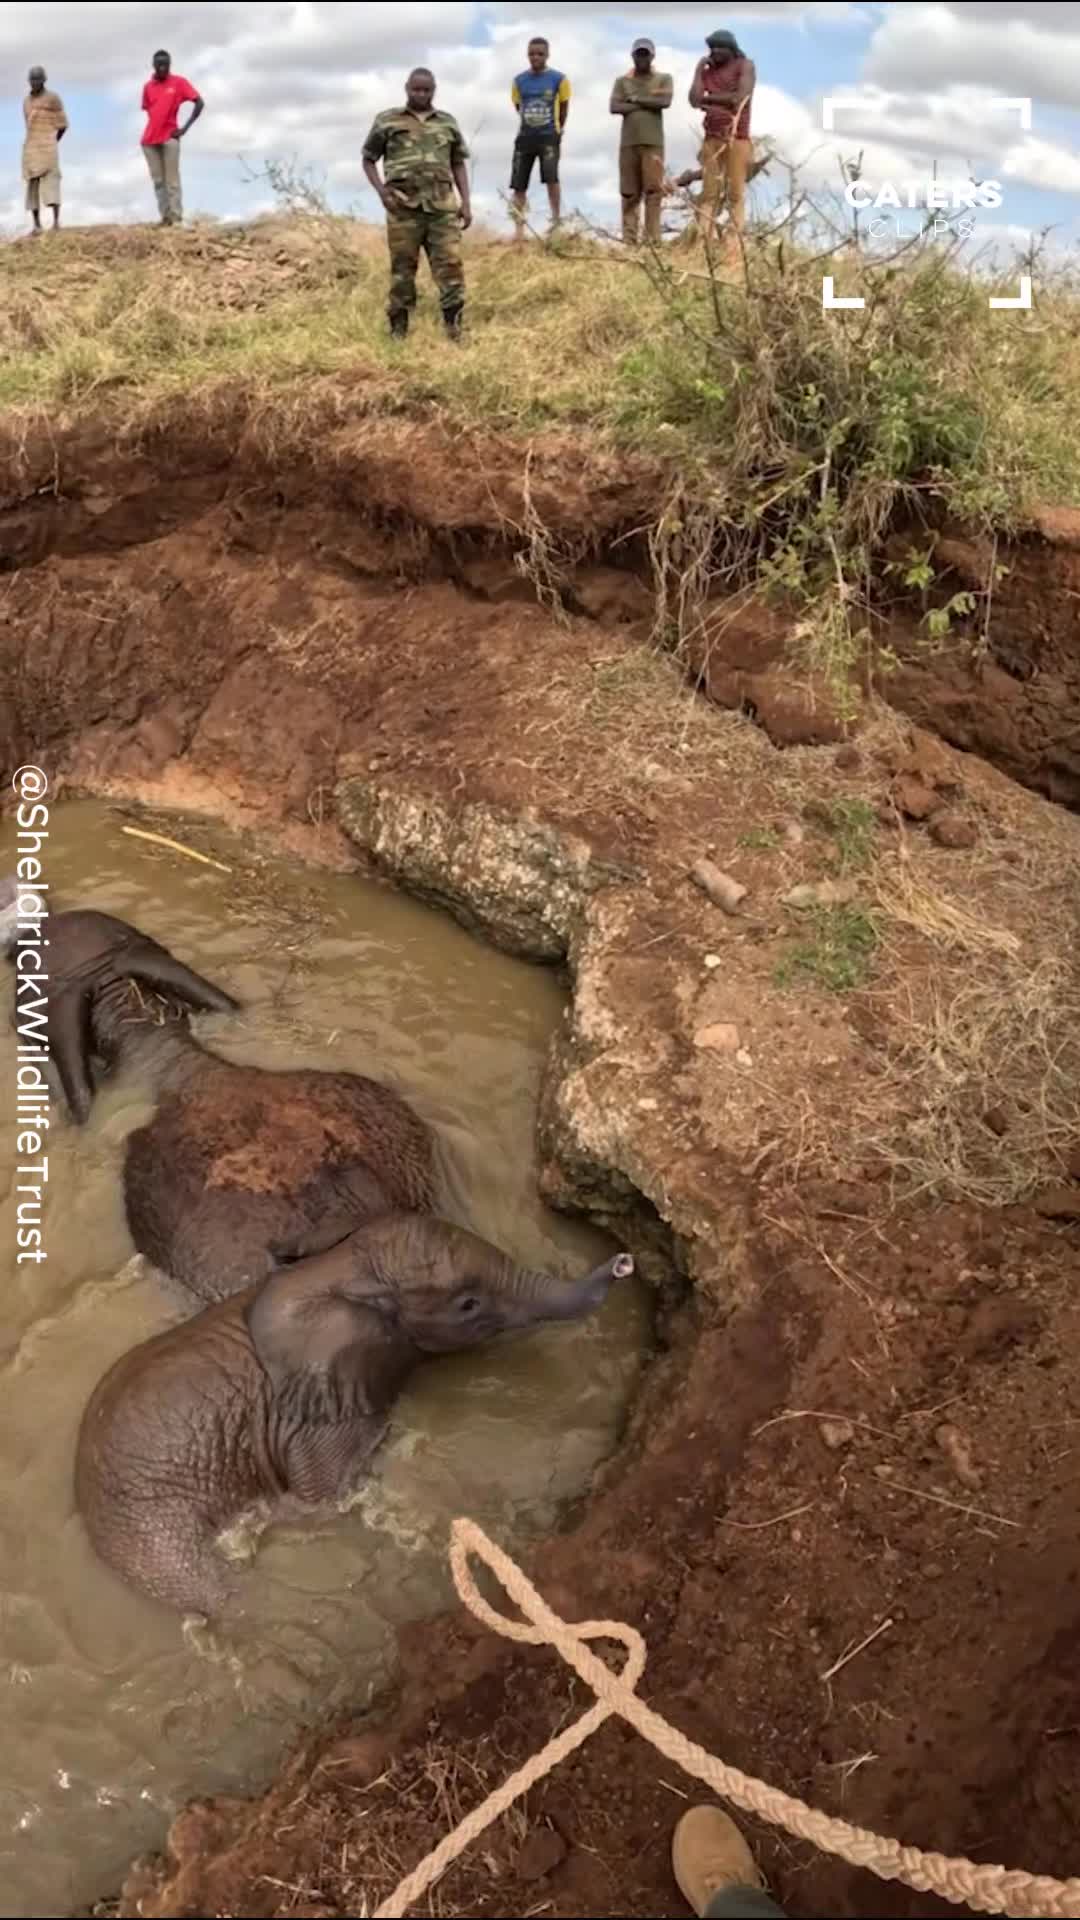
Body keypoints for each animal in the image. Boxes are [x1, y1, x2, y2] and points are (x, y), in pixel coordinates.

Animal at [75, 1212, 633, 1615]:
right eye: (468, 1304)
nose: (625, 1261)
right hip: (151, 1526)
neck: (337, 1268)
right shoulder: (320, 1420)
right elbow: (322, 1498)